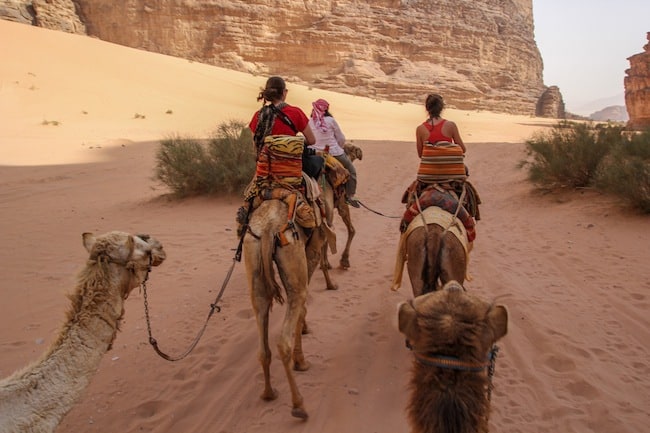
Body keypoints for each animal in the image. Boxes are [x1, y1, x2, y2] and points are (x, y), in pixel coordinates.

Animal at [242, 198, 328, 419]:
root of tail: (266, 230)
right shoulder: (312, 253)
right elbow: (302, 309)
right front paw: (301, 362)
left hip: (253, 261)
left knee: (263, 346)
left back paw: (268, 393)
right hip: (291, 253)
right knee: (284, 341)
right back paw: (298, 405)